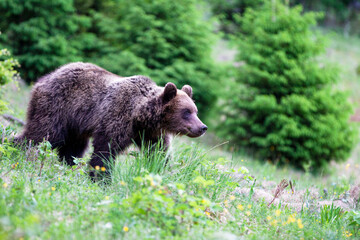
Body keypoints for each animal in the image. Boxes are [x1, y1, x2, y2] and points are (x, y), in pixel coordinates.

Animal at [14, 62, 208, 173]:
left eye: (195, 111)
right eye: (186, 112)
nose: (202, 127)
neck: (140, 116)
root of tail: (46, 77)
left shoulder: (151, 133)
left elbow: (159, 153)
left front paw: (164, 171)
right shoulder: (117, 116)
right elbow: (105, 150)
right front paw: (101, 178)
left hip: (76, 124)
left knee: (73, 148)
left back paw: (68, 165)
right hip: (58, 106)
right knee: (43, 133)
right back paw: (16, 149)